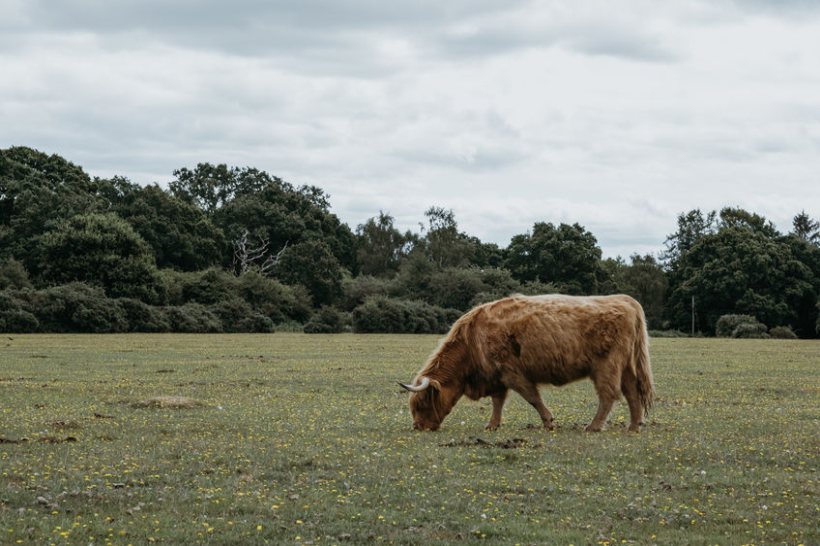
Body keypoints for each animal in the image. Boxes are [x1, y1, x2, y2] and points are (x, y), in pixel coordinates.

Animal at [400, 296, 656, 432]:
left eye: (422, 403)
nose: (418, 426)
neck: (472, 341)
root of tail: (624, 300)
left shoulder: (512, 373)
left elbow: (532, 397)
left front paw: (549, 422)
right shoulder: (497, 377)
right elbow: (498, 402)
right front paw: (492, 425)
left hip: (606, 366)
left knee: (608, 395)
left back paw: (593, 427)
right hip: (626, 367)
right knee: (632, 393)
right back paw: (634, 426)